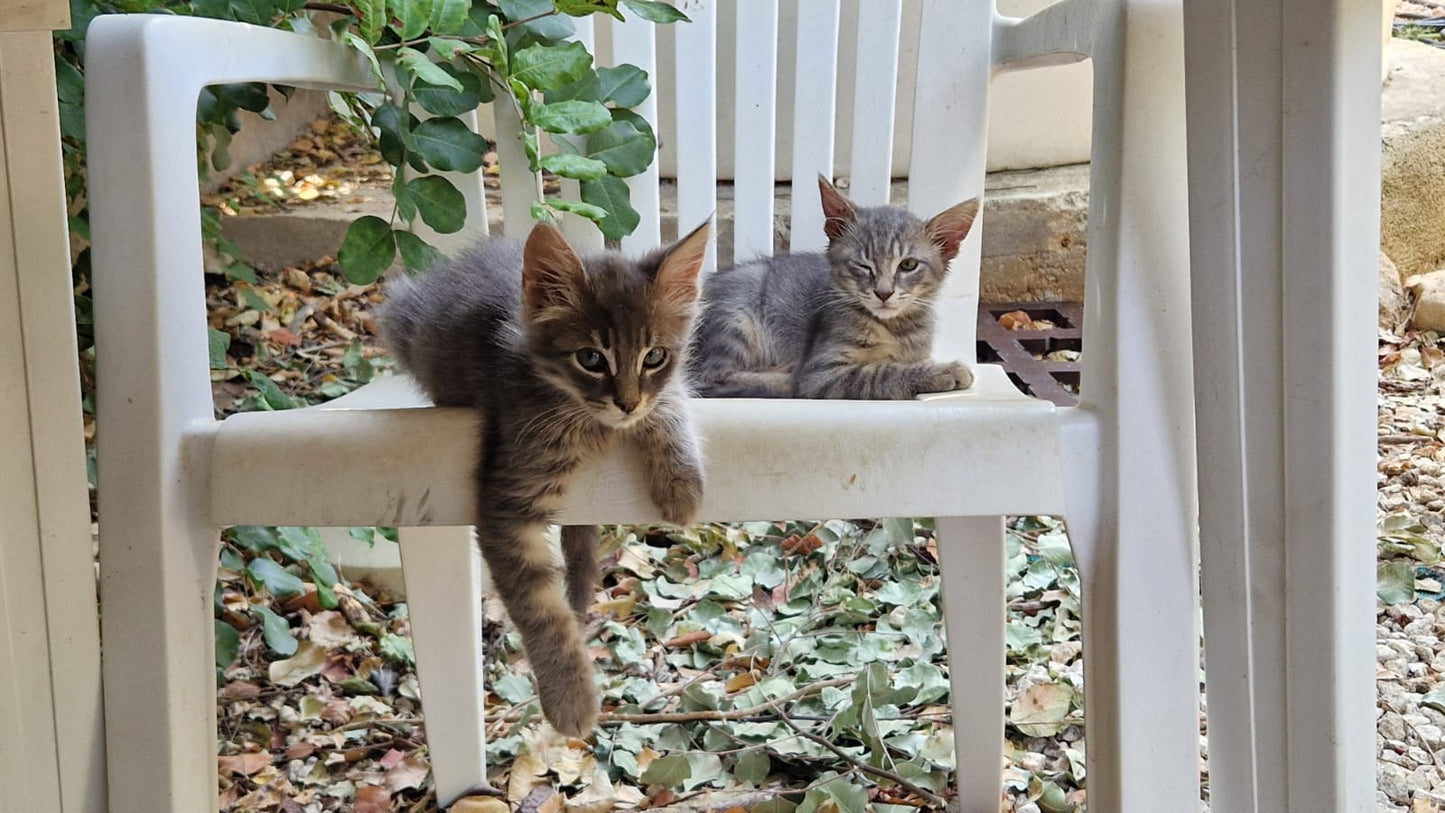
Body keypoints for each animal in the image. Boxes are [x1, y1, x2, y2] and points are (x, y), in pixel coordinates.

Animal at [375, 220, 708, 739]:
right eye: (591, 358)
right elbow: (543, 611)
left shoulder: (659, 394)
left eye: (654, 357)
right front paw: (570, 699)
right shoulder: (508, 501)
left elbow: (670, 402)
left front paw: (680, 485)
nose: (627, 402)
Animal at [690, 175, 982, 401]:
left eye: (908, 265)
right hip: (737, 314)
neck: (892, 329)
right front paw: (945, 371)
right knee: (710, 377)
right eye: (863, 265)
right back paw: (785, 378)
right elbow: (881, 372)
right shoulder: (824, 371)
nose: (883, 292)